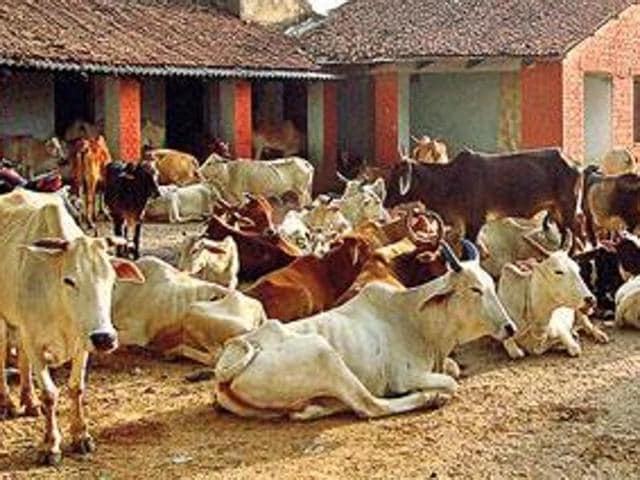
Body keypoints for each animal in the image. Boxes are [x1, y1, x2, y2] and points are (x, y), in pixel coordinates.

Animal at [0, 189, 144, 465]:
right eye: (69, 280)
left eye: (112, 280)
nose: (105, 338)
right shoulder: (35, 340)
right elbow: (50, 393)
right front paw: (50, 445)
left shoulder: (82, 342)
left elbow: (76, 388)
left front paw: (81, 437)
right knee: (2, 354)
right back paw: (8, 403)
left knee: (20, 357)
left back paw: (29, 401)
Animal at [386, 148, 582, 242]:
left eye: (397, 176)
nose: (385, 202)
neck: (448, 180)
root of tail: (575, 164)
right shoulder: (461, 223)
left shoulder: (475, 222)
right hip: (556, 211)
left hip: (568, 209)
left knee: (578, 237)